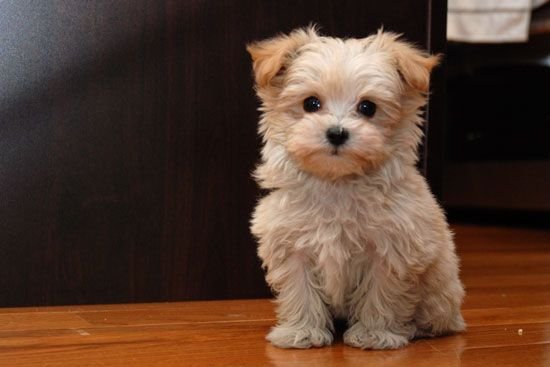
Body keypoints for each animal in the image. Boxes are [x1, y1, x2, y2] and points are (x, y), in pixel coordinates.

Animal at [248, 28, 468, 350]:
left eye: (368, 107)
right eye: (310, 103)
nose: (337, 133)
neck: (338, 183)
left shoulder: (392, 250)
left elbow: (382, 294)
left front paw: (374, 334)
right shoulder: (292, 247)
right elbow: (300, 291)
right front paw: (301, 331)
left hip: (441, 292)